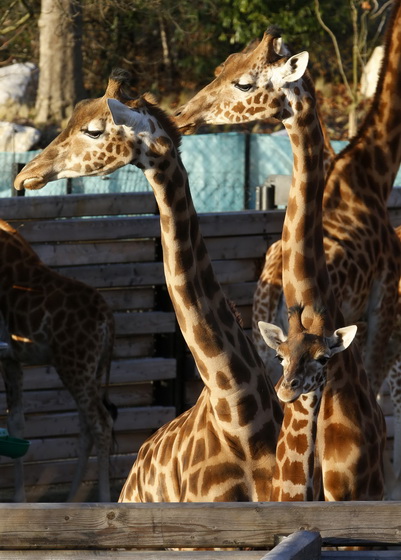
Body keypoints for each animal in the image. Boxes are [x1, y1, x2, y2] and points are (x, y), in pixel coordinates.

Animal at [0, 218, 115, 498]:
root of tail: (107, 320)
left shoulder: (5, 356)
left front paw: (18, 498)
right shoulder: (12, 358)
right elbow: (17, 423)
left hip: (74, 366)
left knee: (101, 422)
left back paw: (104, 499)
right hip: (92, 369)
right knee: (86, 426)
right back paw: (72, 498)